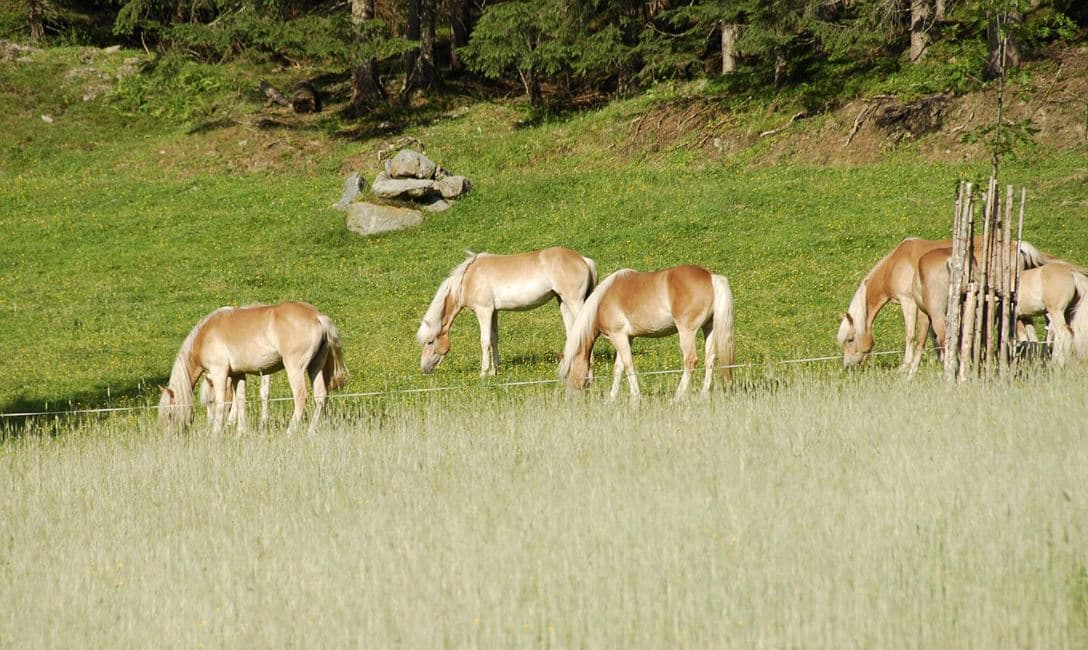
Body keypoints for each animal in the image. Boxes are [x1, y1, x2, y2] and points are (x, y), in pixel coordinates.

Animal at [159, 302, 348, 434]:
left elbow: (222, 402)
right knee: (321, 396)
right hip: (315, 367)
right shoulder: (238, 375)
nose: (169, 437)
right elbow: (241, 400)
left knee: (301, 397)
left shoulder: (219, 372)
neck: (205, 334)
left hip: (295, 368)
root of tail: (317, 316)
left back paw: (290, 431)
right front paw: (241, 432)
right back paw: (311, 431)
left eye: (169, 414)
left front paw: (216, 432)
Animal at [416, 246, 597, 376]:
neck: (468, 279)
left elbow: (485, 341)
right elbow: (494, 339)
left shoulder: (484, 311)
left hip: (574, 302)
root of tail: (583, 259)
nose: (424, 368)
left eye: (430, 342)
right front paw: (494, 371)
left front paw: (483, 373)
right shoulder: (493, 313)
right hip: (563, 302)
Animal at [559, 265, 734, 401]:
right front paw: (611, 398)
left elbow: (628, 365)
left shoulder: (618, 336)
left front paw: (636, 396)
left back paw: (677, 397)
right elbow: (618, 368)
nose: (569, 397)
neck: (602, 300)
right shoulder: (627, 338)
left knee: (690, 361)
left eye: (568, 371)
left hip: (687, 332)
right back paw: (703, 394)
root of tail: (711, 276)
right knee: (710, 359)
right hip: (709, 328)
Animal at [837, 236, 1055, 369]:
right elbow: (934, 337)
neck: (896, 263)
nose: (847, 366)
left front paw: (906, 366)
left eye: (850, 339)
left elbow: (910, 336)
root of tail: (1017, 245)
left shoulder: (909, 303)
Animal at [910, 251, 1088, 371]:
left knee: (1063, 334)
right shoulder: (1021, 317)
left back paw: (1057, 365)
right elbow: (1026, 340)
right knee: (1064, 335)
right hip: (1065, 313)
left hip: (1056, 312)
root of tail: (1072, 273)